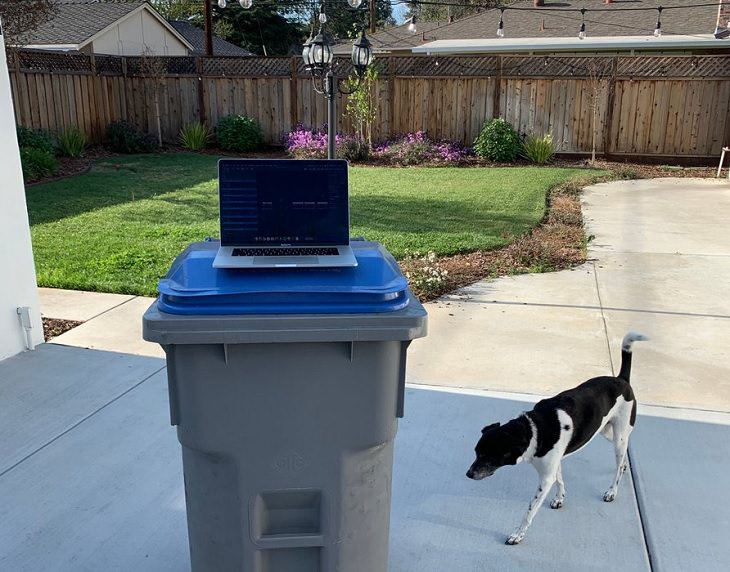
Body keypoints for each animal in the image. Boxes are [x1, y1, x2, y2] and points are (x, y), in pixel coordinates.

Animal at [464, 332, 644, 548]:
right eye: (476, 452)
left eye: (488, 456)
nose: (468, 474)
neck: (533, 429)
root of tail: (621, 379)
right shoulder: (554, 464)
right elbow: (560, 481)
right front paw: (559, 499)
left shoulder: (545, 477)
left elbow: (529, 511)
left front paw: (517, 535)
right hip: (605, 431)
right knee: (623, 455)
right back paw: (624, 466)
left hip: (619, 436)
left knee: (618, 465)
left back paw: (612, 491)